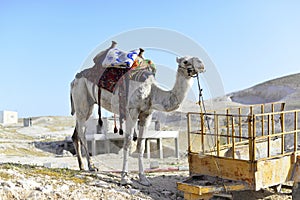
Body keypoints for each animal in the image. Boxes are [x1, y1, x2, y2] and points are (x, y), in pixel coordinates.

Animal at [70, 44, 205, 185]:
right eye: (185, 61)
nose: (201, 64)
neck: (151, 92)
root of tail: (74, 80)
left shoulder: (147, 115)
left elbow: (141, 146)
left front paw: (143, 178)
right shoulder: (132, 111)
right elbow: (128, 143)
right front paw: (124, 177)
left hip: (88, 104)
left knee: (76, 133)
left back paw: (82, 166)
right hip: (81, 96)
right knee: (82, 132)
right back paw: (91, 166)